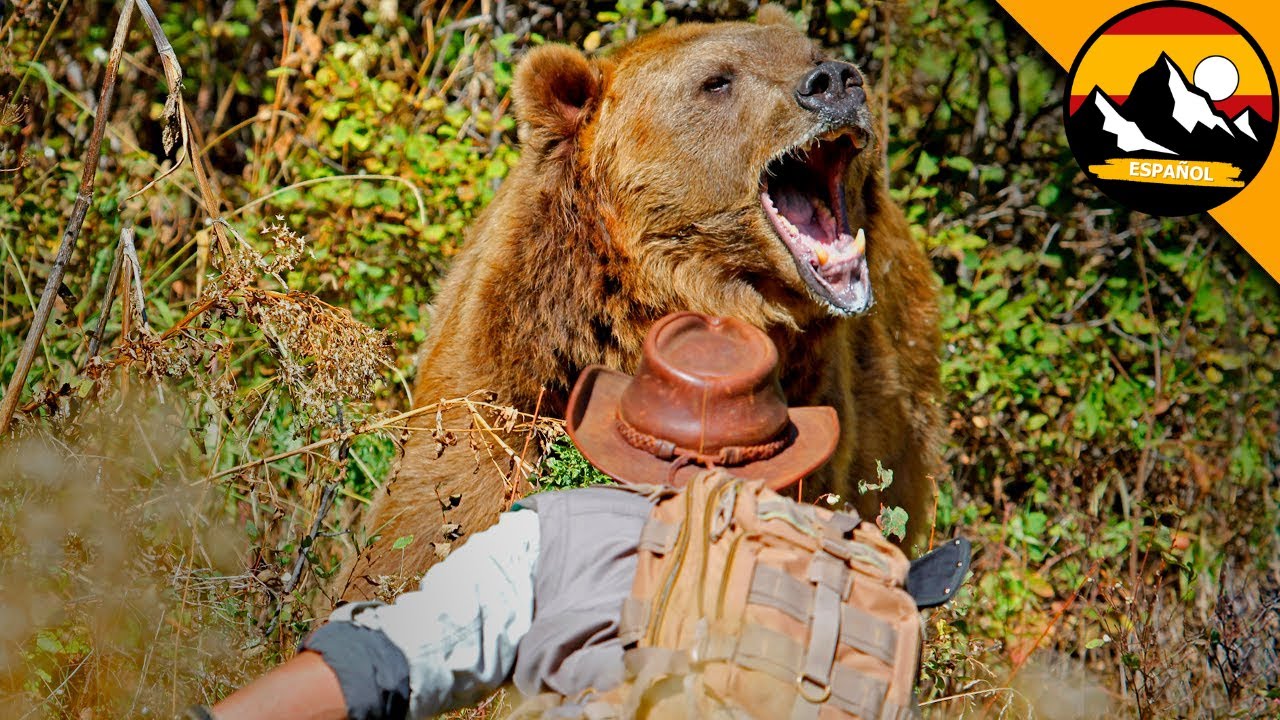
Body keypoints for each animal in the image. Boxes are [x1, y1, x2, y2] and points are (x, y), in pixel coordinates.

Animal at [337, 7, 942, 601]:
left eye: (811, 53)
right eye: (717, 80)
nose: (835, 82)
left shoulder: (814, 401)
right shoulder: (510, 374)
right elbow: (445, 502)